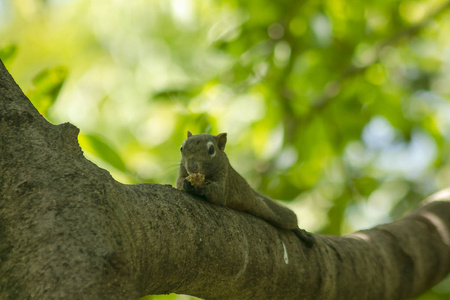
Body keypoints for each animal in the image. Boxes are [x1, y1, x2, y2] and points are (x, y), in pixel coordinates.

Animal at [175, 132, 312, 247]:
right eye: (181, 148)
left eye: (211, 150)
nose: (191, 167)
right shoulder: (182, 169)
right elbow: (179, 183)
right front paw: (187, 183)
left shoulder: (226, 176)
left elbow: (219, 193)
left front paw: (203, 187)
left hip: (271, 211)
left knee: (287, 219)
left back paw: (299, 231)